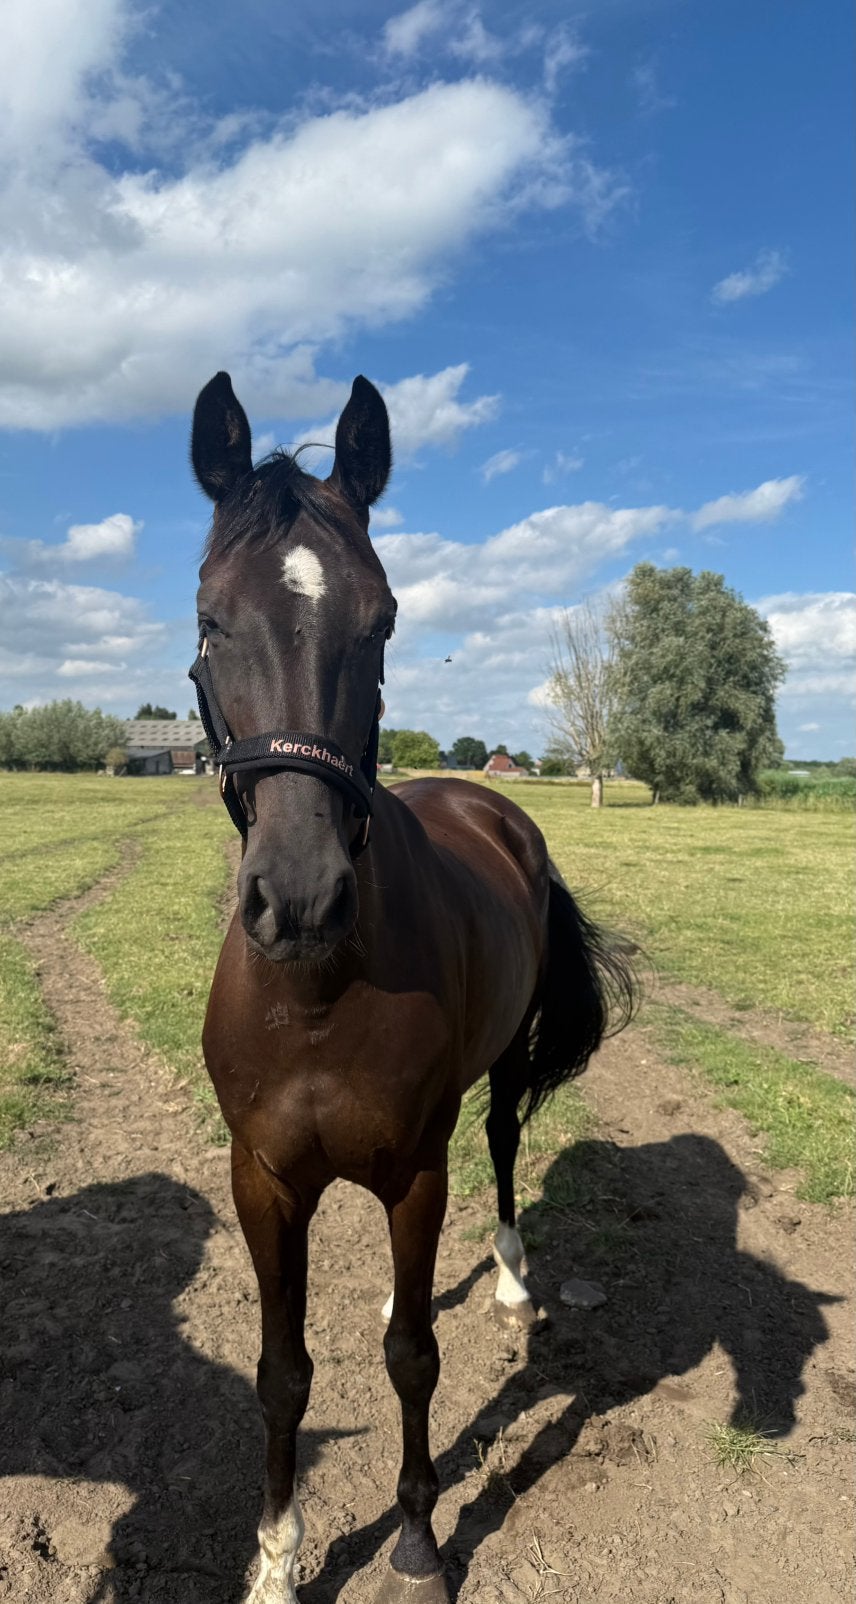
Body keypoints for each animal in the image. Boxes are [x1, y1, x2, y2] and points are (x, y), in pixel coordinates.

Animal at [188, 371, 636, 1604]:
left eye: (382, 619)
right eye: (208, 618)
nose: (299, 898)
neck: (318, 994)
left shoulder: (417, 1170)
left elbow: (412, 1362)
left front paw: (421, 1542)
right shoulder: (263, 1181)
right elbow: (282, 1369)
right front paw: (277, 1559)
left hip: (491, 1089)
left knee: (502, 1145)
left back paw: (514, 1279)